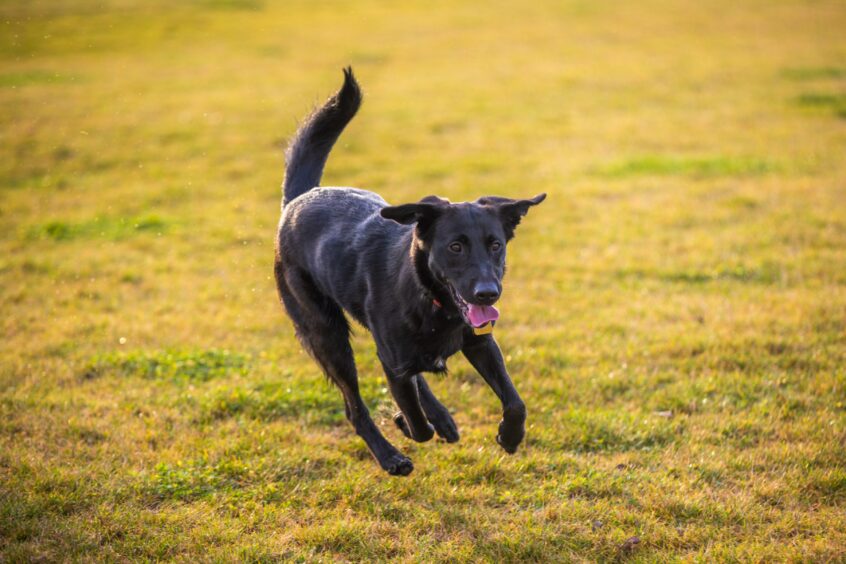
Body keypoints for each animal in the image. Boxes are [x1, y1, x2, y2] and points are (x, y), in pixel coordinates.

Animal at [274, 68, 545, 475]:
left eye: (496, 244)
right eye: (455, 246)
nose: (488, 293)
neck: (431, 299)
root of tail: (299, 199)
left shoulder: (480, 343)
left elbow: (515, 402)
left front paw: (509, 437)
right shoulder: (392, 362)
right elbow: (416, 422)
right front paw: (405, 422)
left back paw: (442, 418)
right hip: (326, 334)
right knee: (354, 407)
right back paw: (390, 456)